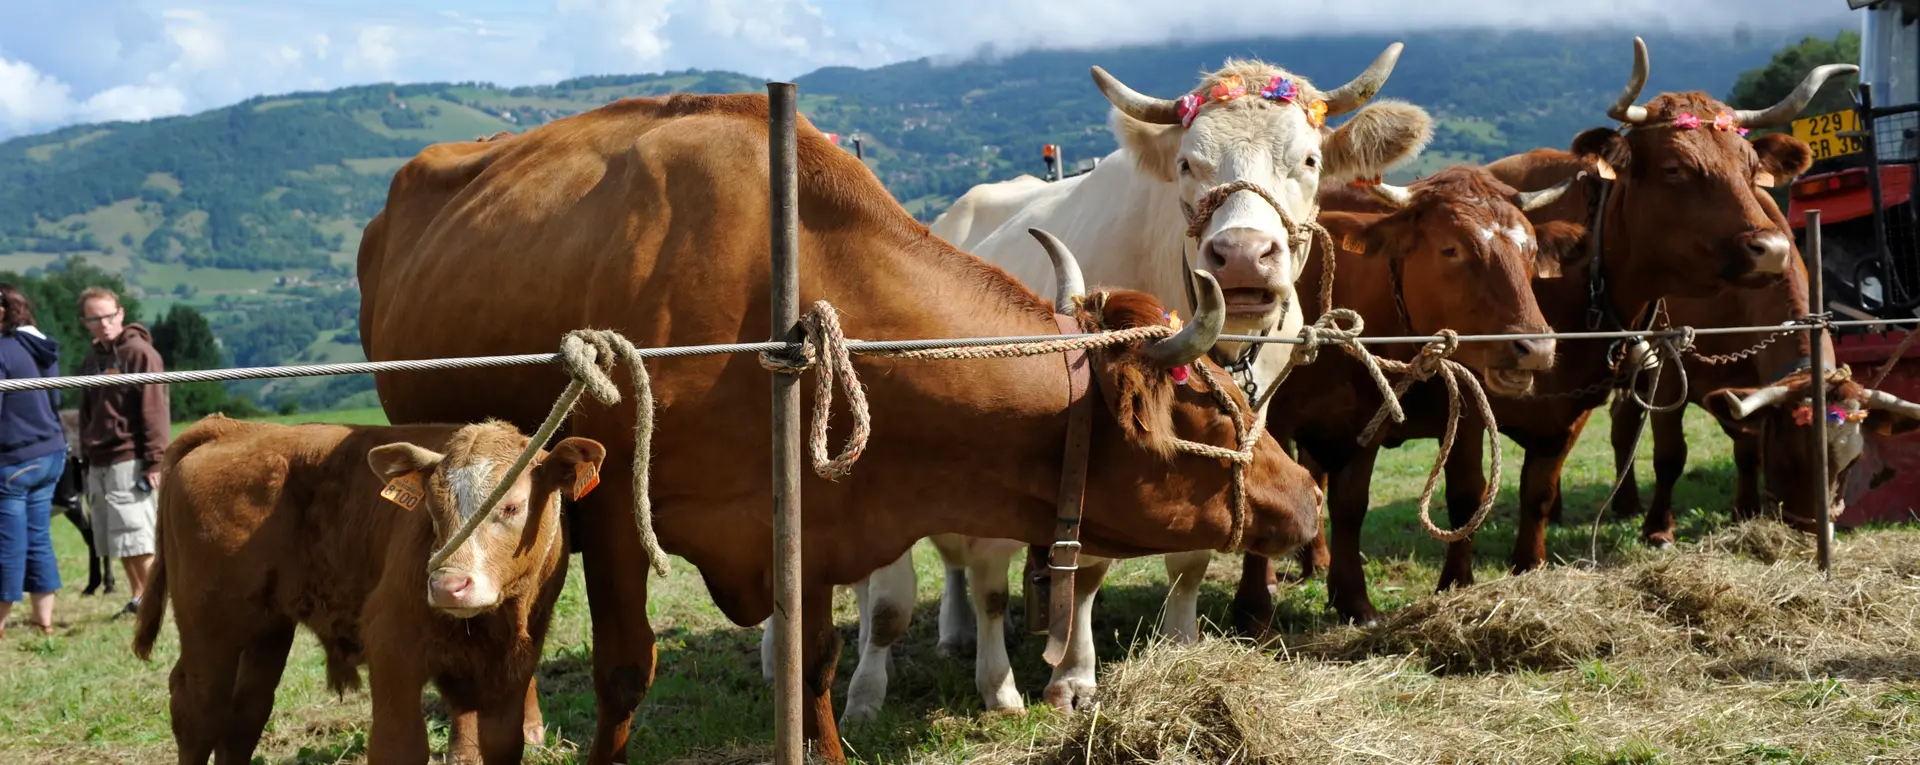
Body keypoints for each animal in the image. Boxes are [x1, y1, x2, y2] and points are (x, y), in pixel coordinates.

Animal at [129, 415, 604, 764]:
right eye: (432, 506)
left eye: (511, 505)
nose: (447, 585)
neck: (491, 625)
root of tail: (234, 428)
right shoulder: (392, 645)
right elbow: (399, 747)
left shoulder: (514, 665)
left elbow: (503, 743)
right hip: (210, 627)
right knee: (198, 711)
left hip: (267, 629)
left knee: (244, 714)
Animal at [353, 91, 1326, 764]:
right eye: (1206, 404)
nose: (1311, 493)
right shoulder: (613, 513)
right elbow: (626, 666)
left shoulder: (811, 516)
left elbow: (816, 657)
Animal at [1232, 37, 1866, 627]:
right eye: (1675, 167)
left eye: (1750, 166)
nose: (1773, 248)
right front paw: (1263, 606)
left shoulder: (1571, 407)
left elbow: (1524, 493)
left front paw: (1524, 569)